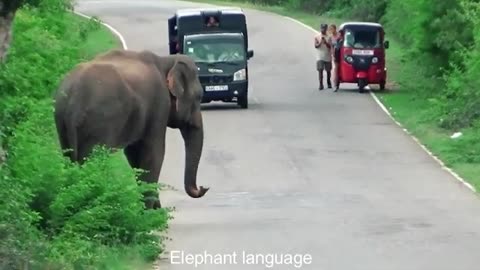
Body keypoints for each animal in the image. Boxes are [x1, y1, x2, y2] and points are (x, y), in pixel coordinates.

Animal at [53, 49, 209, 209]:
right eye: (199, 97)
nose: (203, 187)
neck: (166, 61)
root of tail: (73, 100)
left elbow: (134, 154)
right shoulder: (159, 105)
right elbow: (154, 152)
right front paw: (151, 212)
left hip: (62, 122)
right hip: (97, 122)